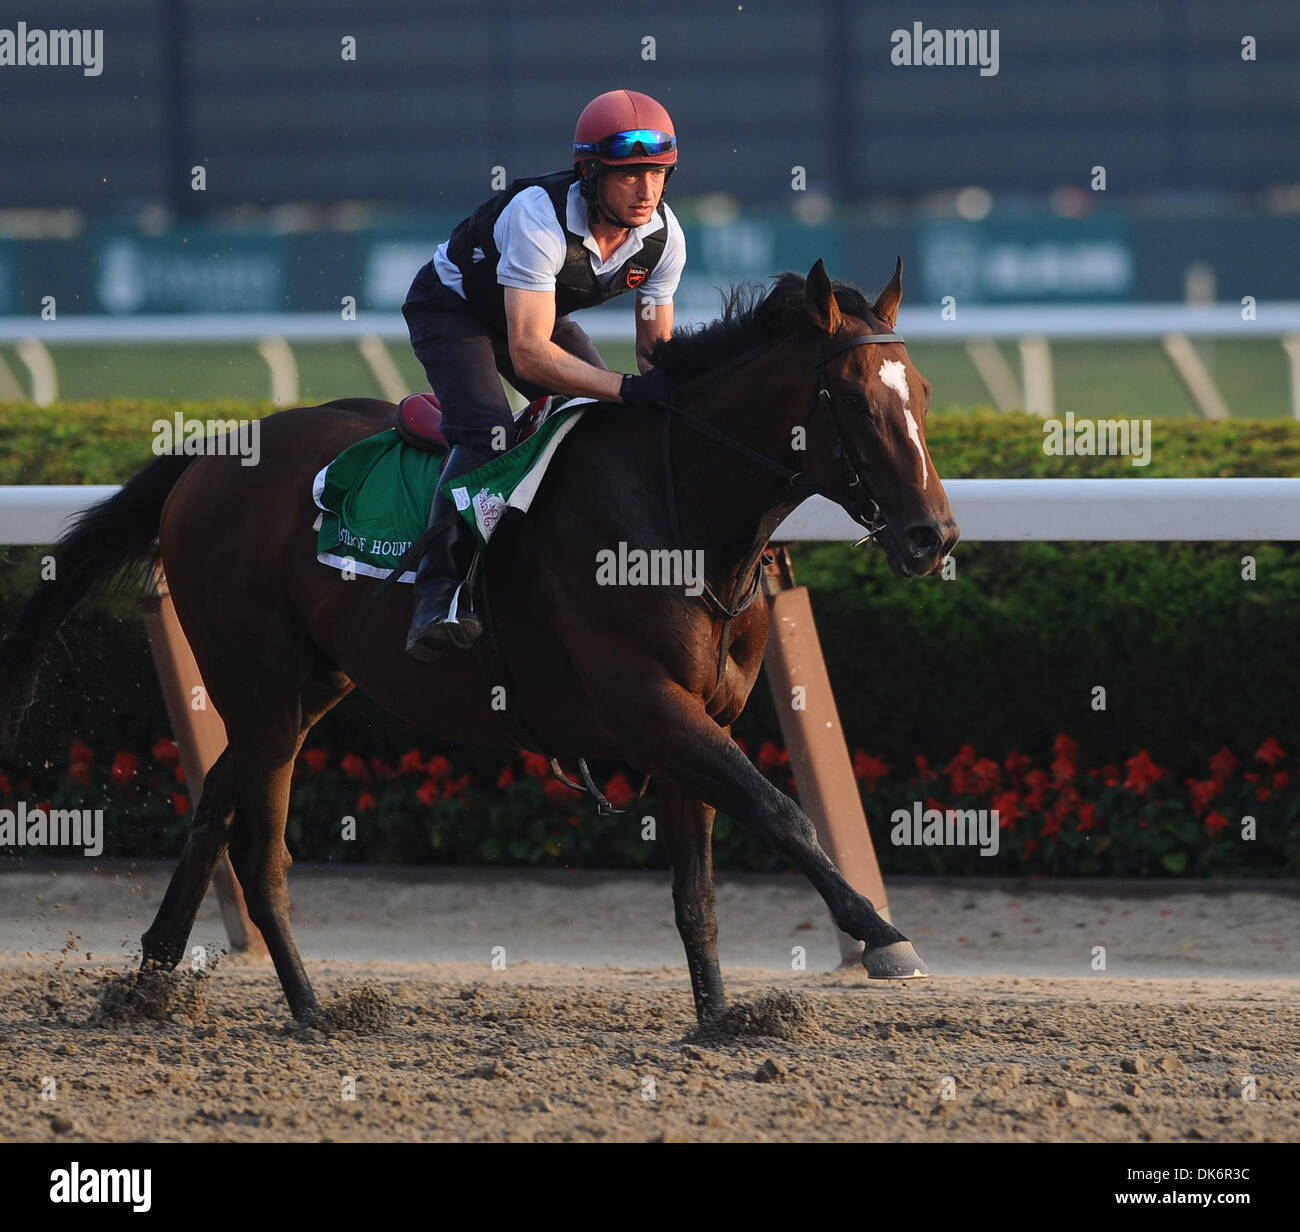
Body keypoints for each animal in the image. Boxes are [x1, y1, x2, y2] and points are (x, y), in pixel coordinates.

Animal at [0, 262, 956, 1029]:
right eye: (858, 401)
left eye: (924, 394)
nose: (933, 536)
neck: (679, 514)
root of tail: (209, 452)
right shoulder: (650, 705)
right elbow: (781, 811)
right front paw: (882, 933)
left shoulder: (698, 714)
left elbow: (698, 889)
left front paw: (721, 1018)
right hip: (261, 681)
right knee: (255, 849)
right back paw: (311, 1009)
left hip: (310, 684)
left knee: (213, 807)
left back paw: (150, 980)